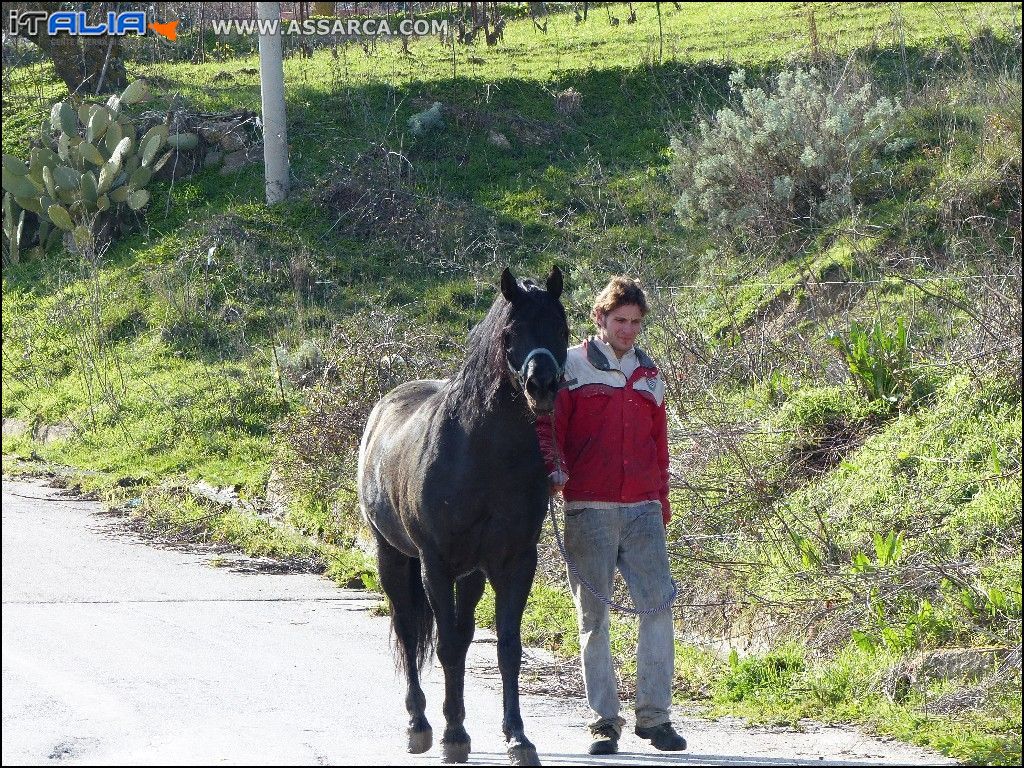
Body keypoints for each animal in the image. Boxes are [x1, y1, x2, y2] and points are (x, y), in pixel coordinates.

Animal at [358, 268, 569, 765]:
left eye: (561, 325)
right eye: (510, 332)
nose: (542, 386)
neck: (484, 454)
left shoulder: (515, 564)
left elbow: (507, 647)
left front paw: (518, 737)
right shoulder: (435, 565)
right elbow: (448, 646)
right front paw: (453, 735)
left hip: (470, 574)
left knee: (464, 629)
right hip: (393, 557)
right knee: (407, 629)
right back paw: (419, 724)